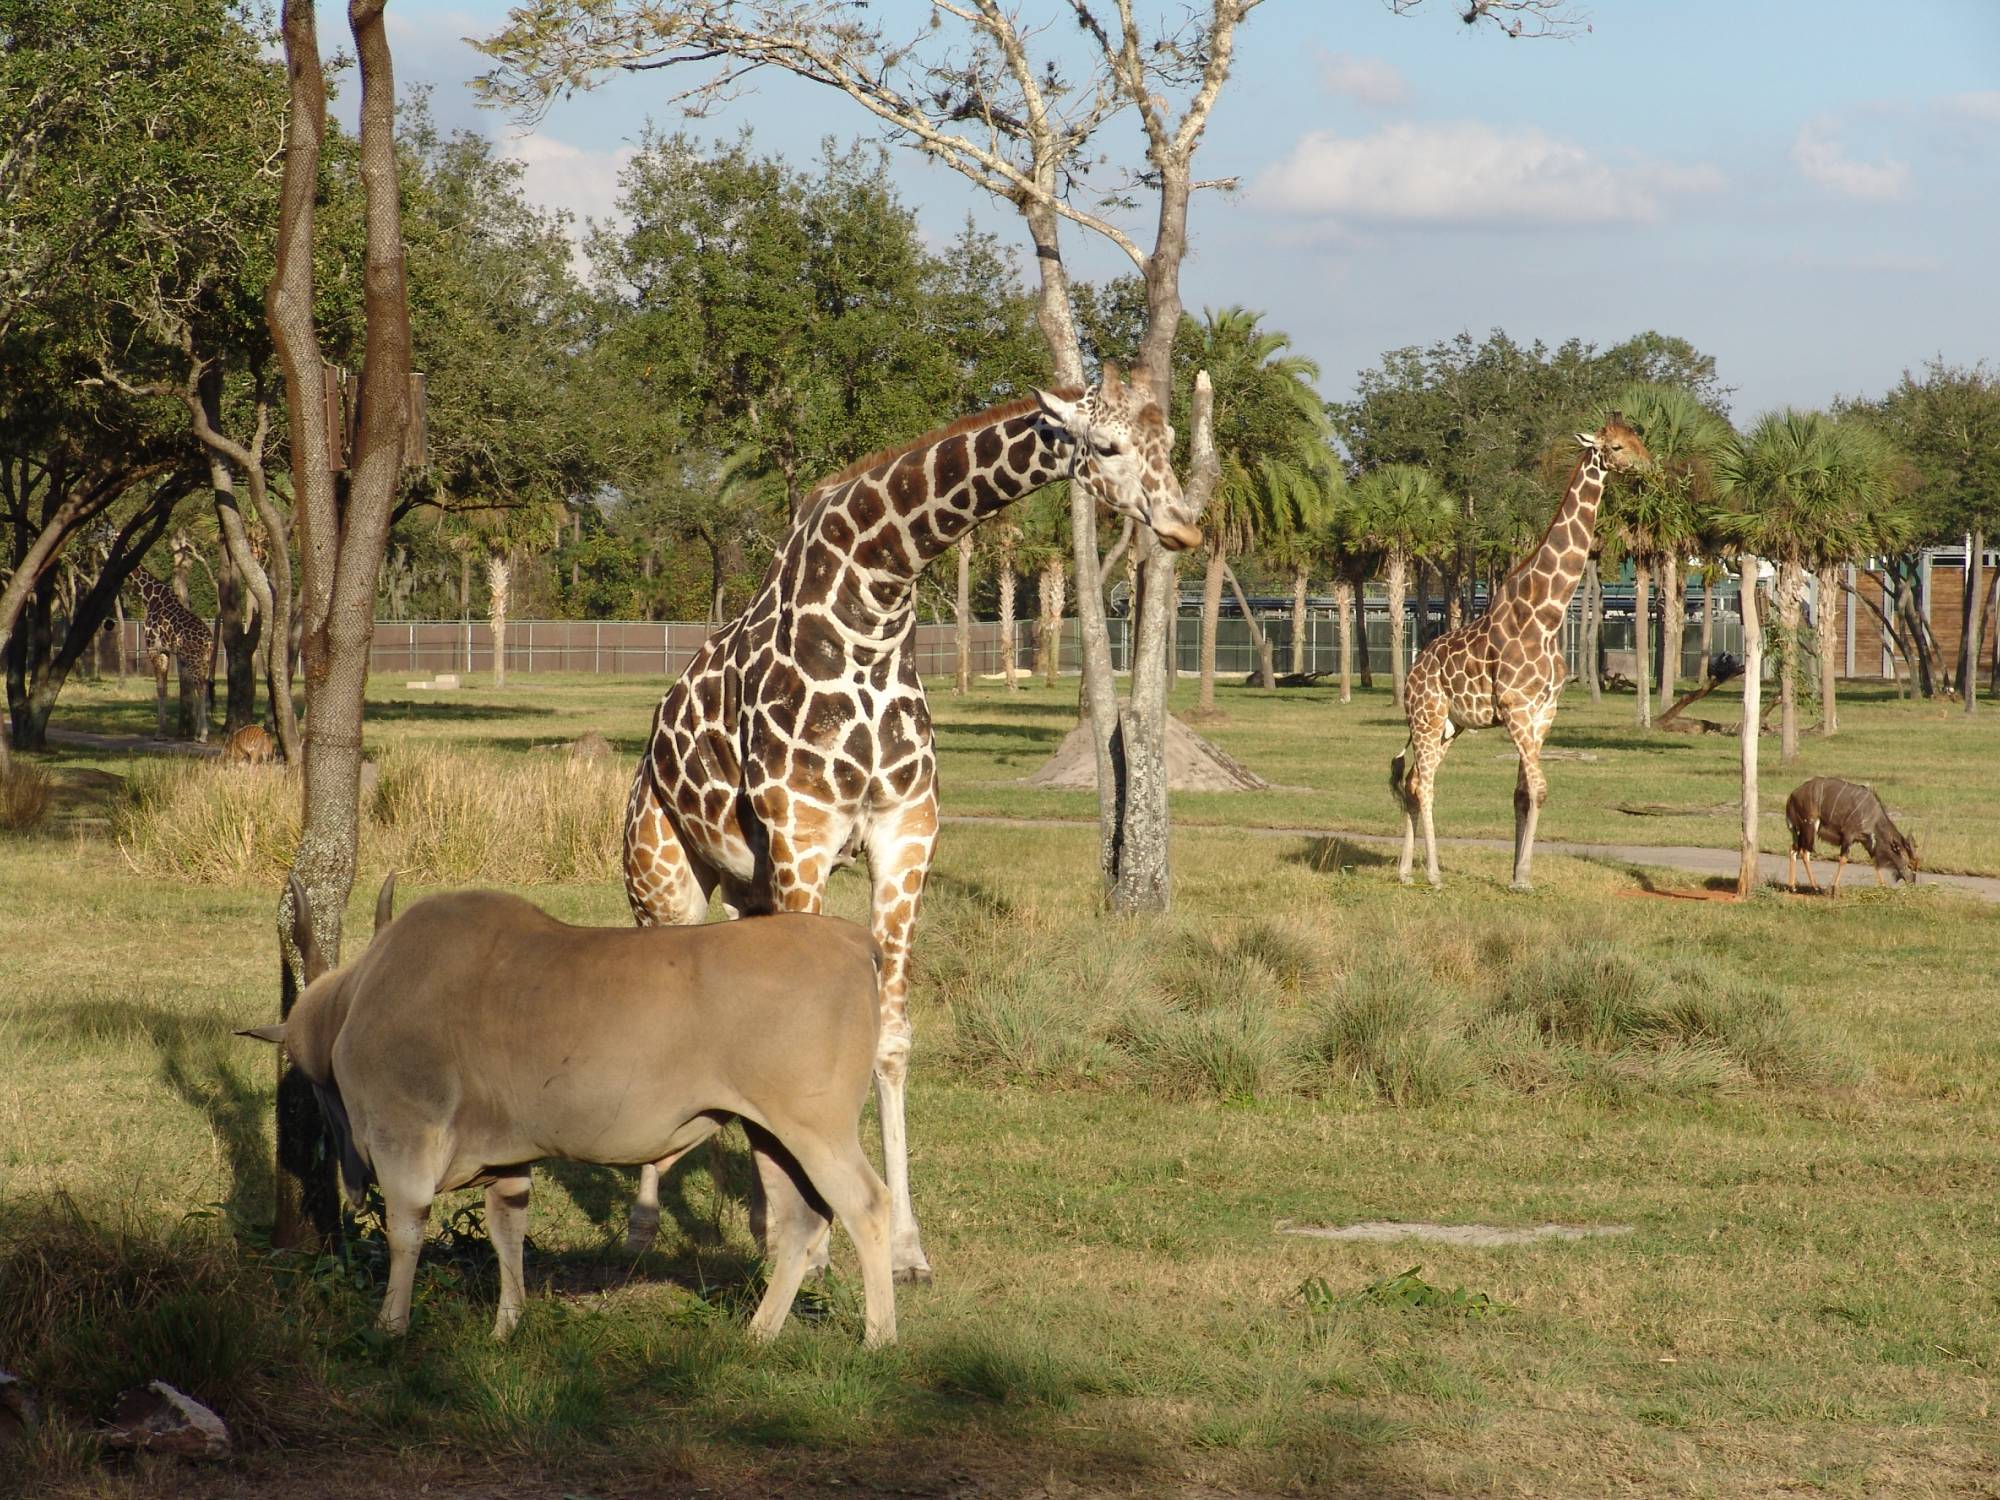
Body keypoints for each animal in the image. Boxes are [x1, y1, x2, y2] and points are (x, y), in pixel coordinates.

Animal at [127, 568, 213, 748]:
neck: (149, 597)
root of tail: (208, 640)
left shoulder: (153, 648)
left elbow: (160, 688)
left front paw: (160, 734)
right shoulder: (165, 651)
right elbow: (164, 688)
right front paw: (162, 732)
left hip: (194, 659)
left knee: (201, 687)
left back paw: (203, 735)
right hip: (203, 660)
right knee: (201, 687)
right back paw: (197, 733)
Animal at [248, 868, 900, 1352]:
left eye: (313, 1080)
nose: (348, 1184)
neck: (358, 999)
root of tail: (854, 940)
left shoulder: (402, 1137)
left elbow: (408, 1230)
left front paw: (390, 1326)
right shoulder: (507, 1161)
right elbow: (508, 1234)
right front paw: (506, 1326)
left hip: (815, 1129)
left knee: (868, 1204)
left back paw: (878, 1339)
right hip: (771, 1134)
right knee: (801, 1221)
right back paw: (759, 1334)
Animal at [616, 370, 1192, 1288]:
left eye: (1168, 442)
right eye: (1105, 446)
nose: (1184, 526)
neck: (873, 610)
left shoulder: (905, 835)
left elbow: (889, 1039)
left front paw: (904, 1247)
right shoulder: (803, 836)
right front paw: (814, 1252)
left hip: (745, 890)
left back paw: (762, 1219)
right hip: (664, 881)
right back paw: (642, 1228)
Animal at [1392, 418, 1656, 892]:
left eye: (1638, 440)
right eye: (1615, 447)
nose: (1650, 468)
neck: (1548, 613)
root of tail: (1413, 671)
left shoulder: (1543, 711)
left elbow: (1523, 793)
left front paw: (1518, 873)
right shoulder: (1515, 707)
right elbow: (1539, 789)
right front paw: (1523, 877)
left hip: (1450, 726)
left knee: (1413, 780)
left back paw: (1405, 871)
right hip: (1426, 716)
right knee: (1425, 785)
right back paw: (1434, 873)